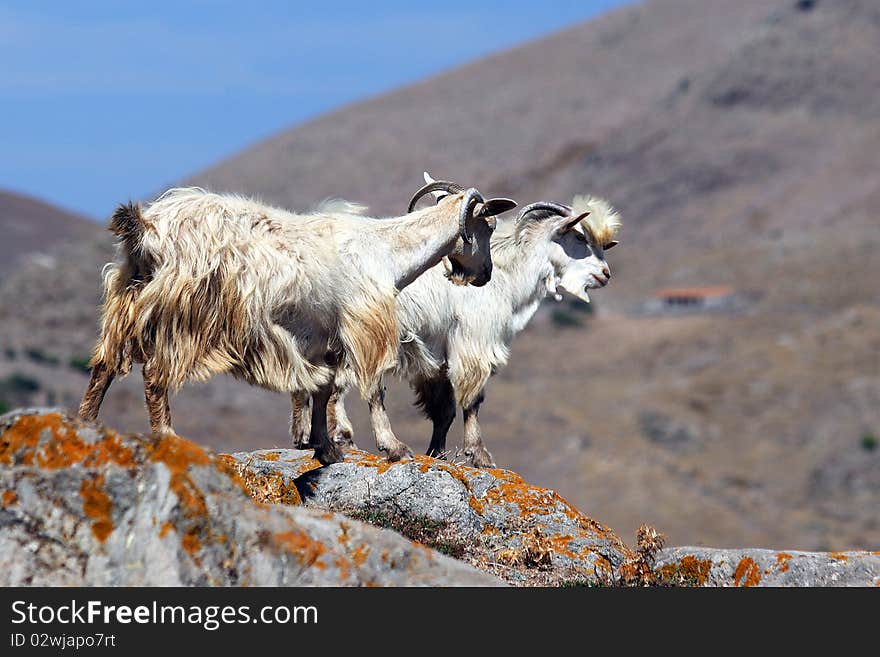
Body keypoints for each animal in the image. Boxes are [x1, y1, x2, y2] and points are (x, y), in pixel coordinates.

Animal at [80, 182, 516, 464]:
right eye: (489, 226)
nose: (485, 275)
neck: (385, 251)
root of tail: (145, 229)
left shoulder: (322, 337)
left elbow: (323, 389)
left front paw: (326, 447)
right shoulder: (365, 323)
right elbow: (373, 389)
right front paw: (393, 447)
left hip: (127, 299)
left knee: (103, 365)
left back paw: (84, 424)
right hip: (184, 313)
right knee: (155, 375)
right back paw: (167, 438)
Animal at [320, 174, 624, 466]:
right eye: (581, 238)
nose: (605, 274)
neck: (508, 274)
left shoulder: (439, 359)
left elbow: (443, 411)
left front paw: (437, 454)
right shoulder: (474, 341)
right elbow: (472, 401)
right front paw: (479, 455)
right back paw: (348, 437)